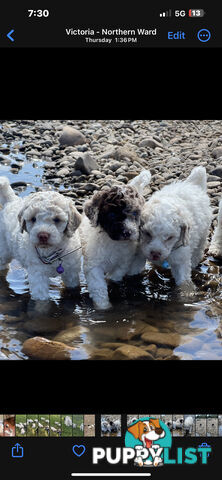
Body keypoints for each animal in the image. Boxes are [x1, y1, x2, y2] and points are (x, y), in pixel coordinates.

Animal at [79, 171, 151, 310]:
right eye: (112, 215)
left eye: (135, 213)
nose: (128, 232)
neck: (113, 243)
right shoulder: (94, 266)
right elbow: (98, 287)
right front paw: (103, 306)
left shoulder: (123, 263)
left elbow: (115, 276)